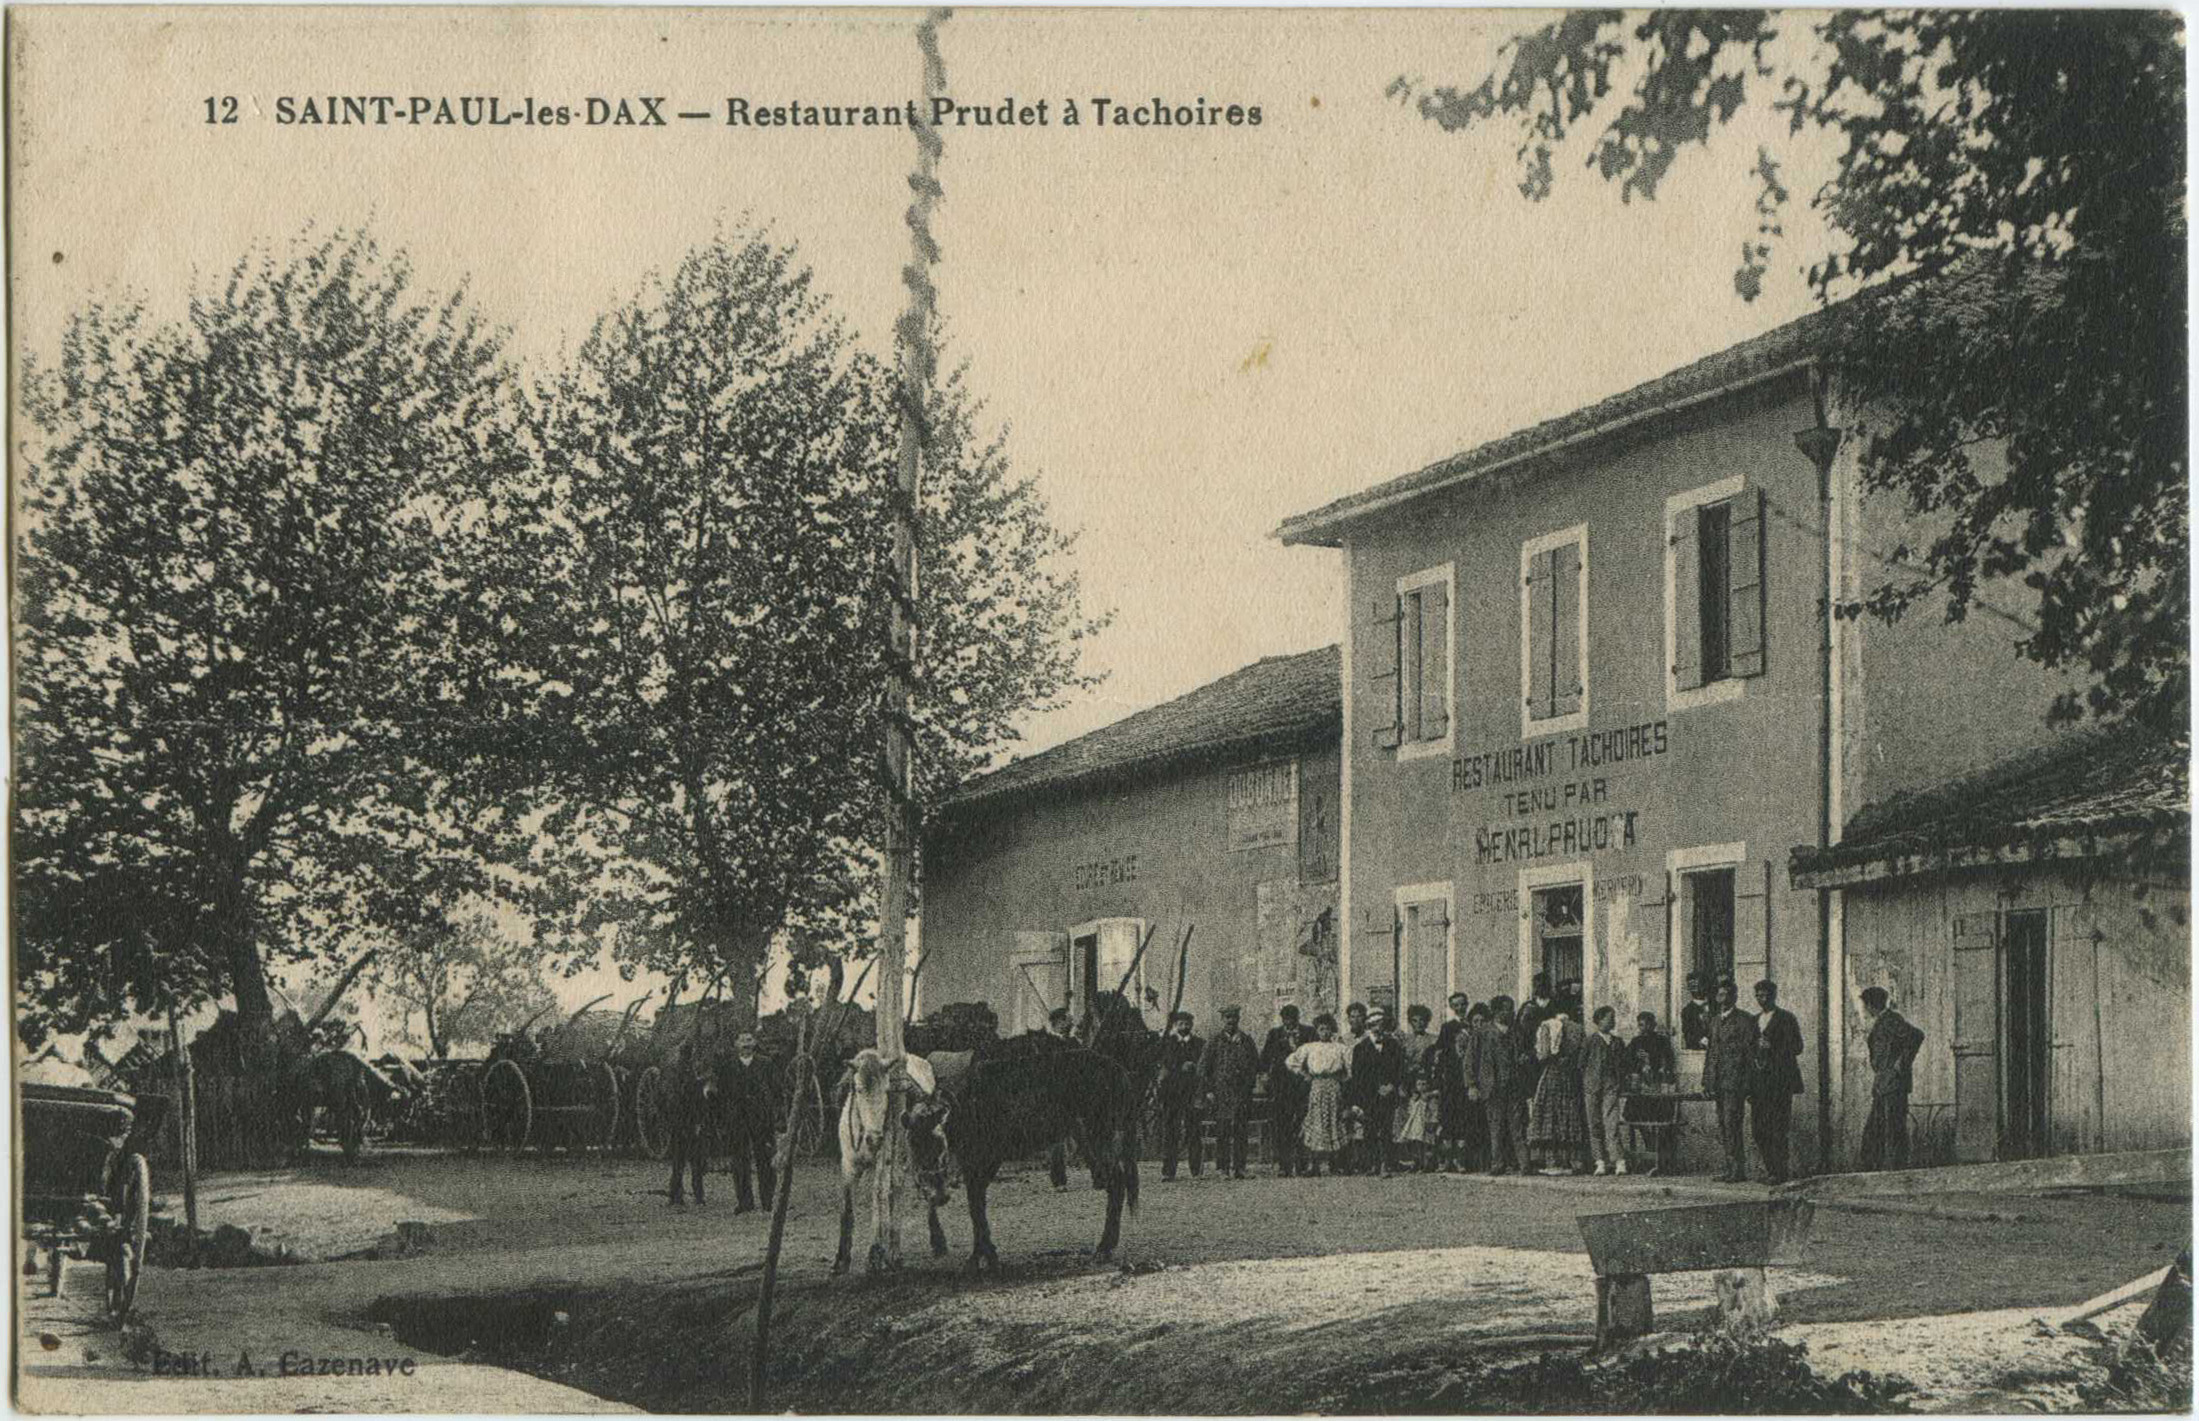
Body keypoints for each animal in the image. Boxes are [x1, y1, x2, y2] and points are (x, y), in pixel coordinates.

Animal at [901, 1033, 1143, 1284]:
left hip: (1100, 1134)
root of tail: (1117, 1069)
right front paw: (984, 1256)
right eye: (912, 1143)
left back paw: (1104, 1247)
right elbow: (976, 1203)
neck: (966, 1102)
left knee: (1116, 1182)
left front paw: (982, 1258)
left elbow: (976, 1205)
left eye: (939, 1142)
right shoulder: (976, 1162)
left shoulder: (983, 1158)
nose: (934, 1193)